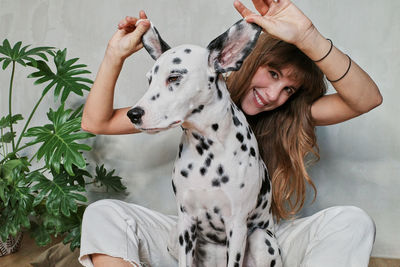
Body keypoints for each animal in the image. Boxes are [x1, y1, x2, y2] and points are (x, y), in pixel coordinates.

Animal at [127, 19, 282, 267]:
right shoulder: (186, 221)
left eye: (174, 77)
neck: (207, 153)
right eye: (149, 80)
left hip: (260, 238)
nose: (133, 114)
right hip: (176, 233)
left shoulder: (237, 225)